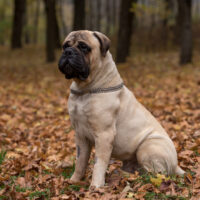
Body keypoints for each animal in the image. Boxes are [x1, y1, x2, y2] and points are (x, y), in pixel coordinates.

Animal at [57, 30, 184, 188]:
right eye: (65, 46)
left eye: (83, 47)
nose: (68, 52)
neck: (85, 89)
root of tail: (176, 165)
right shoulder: (80, 135)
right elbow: (80, 161)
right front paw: (75, 180)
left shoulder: (104, 135)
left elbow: (99, 163)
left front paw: (96, 186)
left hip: (147, 147)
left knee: (153, 174)